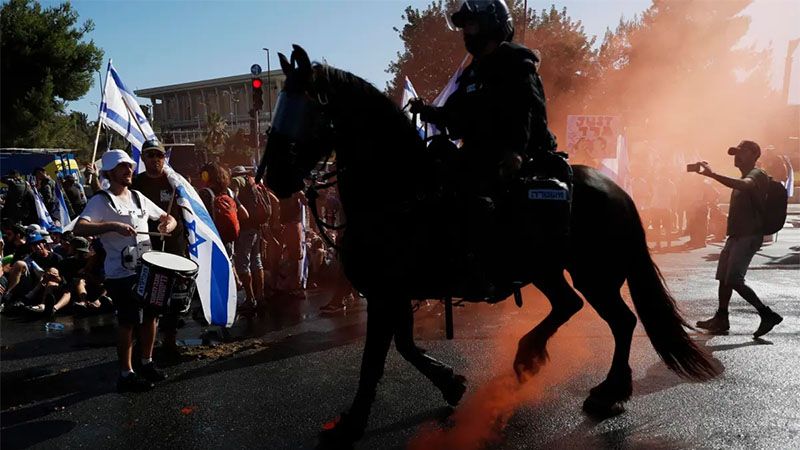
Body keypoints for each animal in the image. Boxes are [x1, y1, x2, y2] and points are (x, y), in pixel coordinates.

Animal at [260, 45, 720, 446]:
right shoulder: (396, 293)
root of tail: (618, 190)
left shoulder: (386, 294)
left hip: (594, 274)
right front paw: (450, 383)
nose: (270, 177)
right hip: (547, 269)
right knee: (569, 305)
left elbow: (373, 361)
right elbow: (405, 346)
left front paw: (350, 424)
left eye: (306, 107)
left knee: (621, 321)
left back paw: (608, 392)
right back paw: (529, 356)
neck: (399, 192)